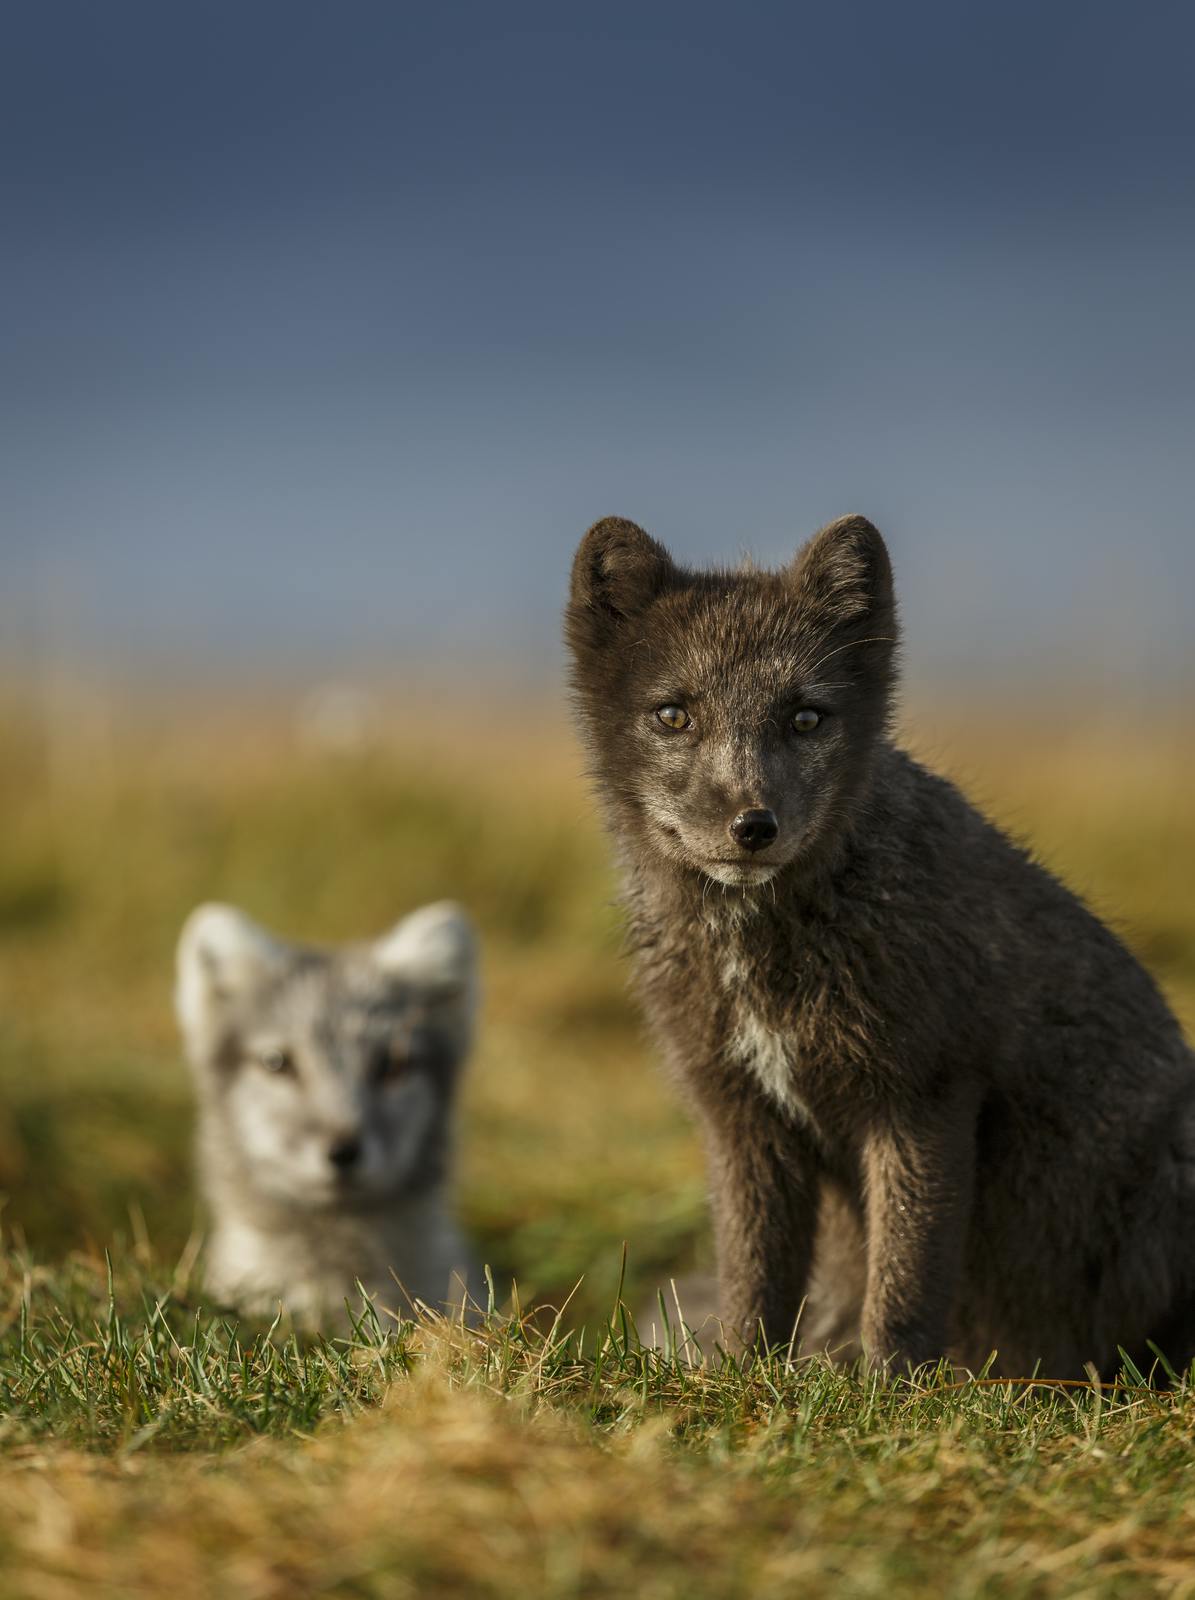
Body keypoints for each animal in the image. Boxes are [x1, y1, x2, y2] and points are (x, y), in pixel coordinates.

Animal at [566, 512, 1195, 1376]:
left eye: (805, 718)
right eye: (673, 716)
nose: (752, 827)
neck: (762, 963)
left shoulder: (923, 1095)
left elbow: (904, 1278)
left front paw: (892, 1388)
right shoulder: (738, 1111)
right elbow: (753, 1276)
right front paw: (740, 1376)